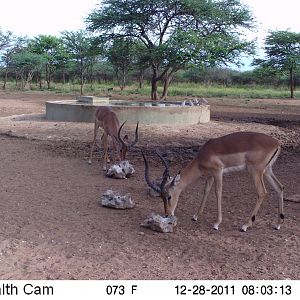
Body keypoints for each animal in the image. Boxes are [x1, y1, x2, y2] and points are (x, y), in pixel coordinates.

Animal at [142, 131, 284, 232]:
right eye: (161, 197)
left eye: (169, 196)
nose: (167, 214)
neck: (202, 156)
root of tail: (276, 143)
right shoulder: (210, 175)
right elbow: (206, 191)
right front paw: (195, 216)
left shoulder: (218, 172)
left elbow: (218, 193)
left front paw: (216, 224)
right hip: (267, 171)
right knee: (280, 187)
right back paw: (277, 224)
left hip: (256, 171)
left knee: (262, 192)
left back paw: (245, 225)